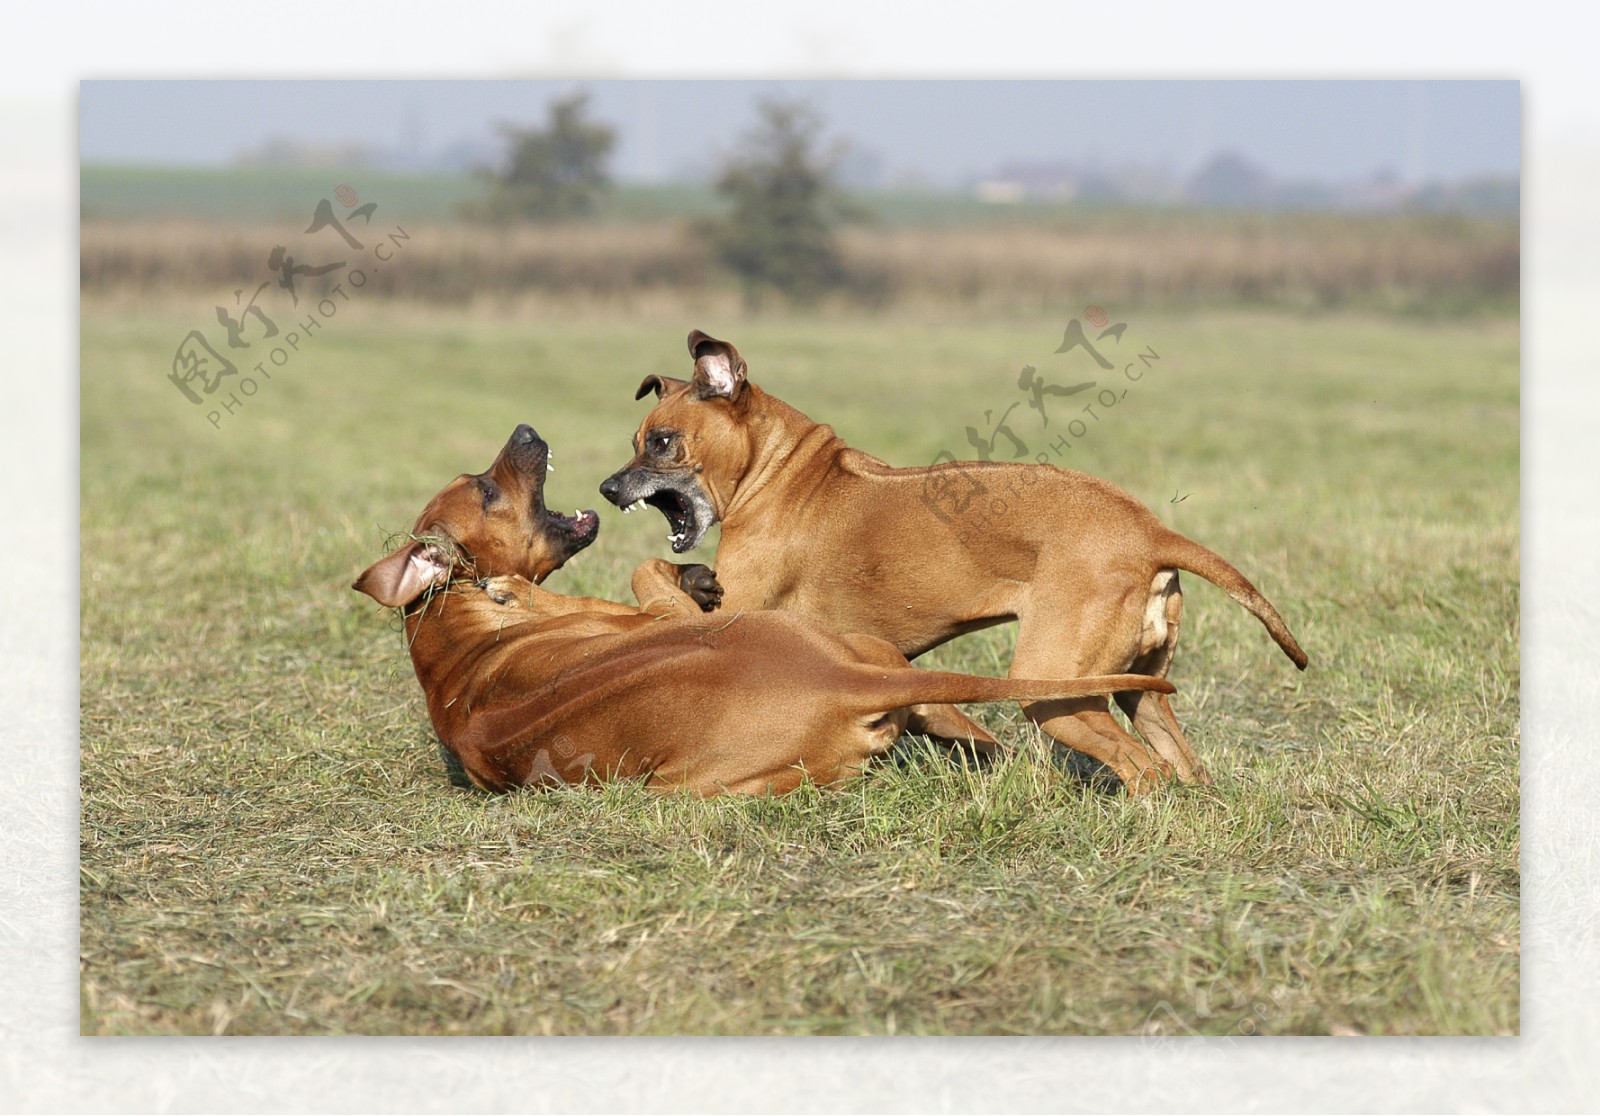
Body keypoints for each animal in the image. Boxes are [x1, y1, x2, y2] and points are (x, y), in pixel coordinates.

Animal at [595, 330, 1305, 789]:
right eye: (633, 440)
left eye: (662, 443)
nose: (606, 489)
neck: (780, 473)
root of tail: (1150, 531)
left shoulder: (735, 614)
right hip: (1141, 690)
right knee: (1182, 764)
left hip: (1056, 691)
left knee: (1146, 770)